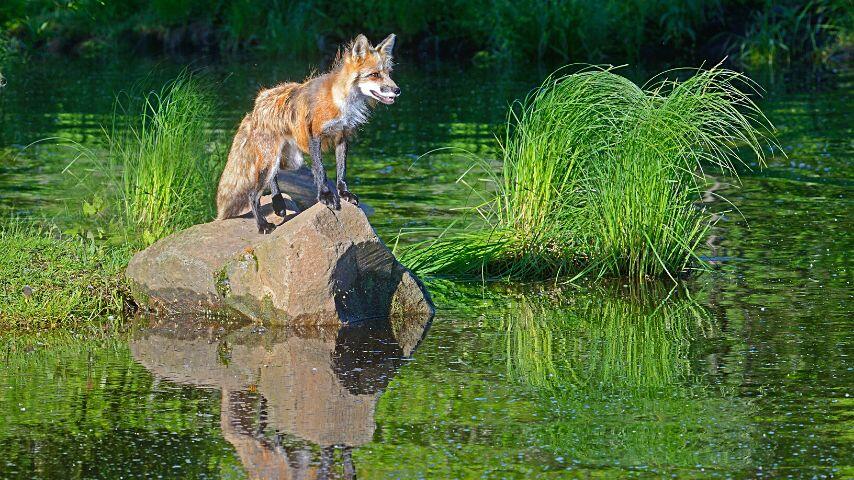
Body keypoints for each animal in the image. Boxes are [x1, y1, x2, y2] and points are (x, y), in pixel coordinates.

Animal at [214, 33, 402, 232]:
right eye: (374, 74)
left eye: (388, 73)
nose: (397, 90)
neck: (342, 101)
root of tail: (256, 106)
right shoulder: (315, 135)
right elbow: (320, 169)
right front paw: (326, 196)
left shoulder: (342, 136)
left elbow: (342, 170)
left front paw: (344, 193)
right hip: (271, 159)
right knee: (253, 194)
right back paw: (263, 224)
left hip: (289, 160)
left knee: (274, 176)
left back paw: (278, 204)